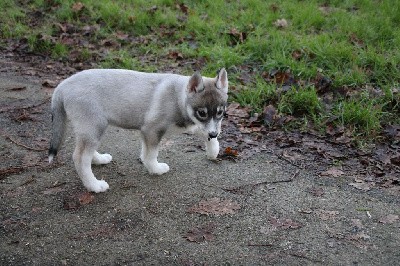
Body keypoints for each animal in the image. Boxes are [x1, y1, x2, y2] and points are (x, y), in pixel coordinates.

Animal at [48, 68, 228, 193]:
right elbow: (151, 155)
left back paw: (99, 159)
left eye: (220, 112)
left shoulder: (189, 126)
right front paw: (155, 169)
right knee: (80, 158)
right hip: (94, 126)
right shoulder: (152, 130)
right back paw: (94, 185)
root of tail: (62, 86)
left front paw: (213, 150)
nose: (213, 134)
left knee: (85, 152)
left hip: (91, 129)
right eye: (202, 113)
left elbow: (204, 132)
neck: (178, 98)